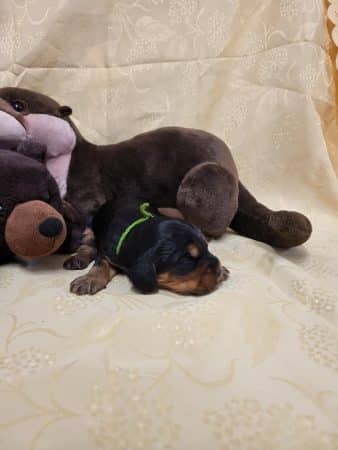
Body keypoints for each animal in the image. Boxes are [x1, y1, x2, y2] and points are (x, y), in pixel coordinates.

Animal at [70, 200, 230, 296]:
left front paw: (222, 270)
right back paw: (76, 260)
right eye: (187, 260)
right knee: (87, 245)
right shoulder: (107, 253)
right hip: (89, 229)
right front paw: (88, 280)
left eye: (207, 248)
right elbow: (100, 264)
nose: (217, 270)